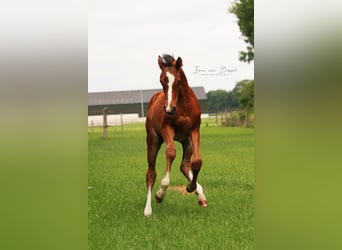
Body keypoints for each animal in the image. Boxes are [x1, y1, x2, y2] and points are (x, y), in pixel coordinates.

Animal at [143, 53, 207, 216]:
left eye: (178, 80)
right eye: (161, 80)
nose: (169, 109)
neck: (182, 106)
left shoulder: (194, 130)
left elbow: (197, 161)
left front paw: (191, 187)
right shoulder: (167, 129)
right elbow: (171, 152)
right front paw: (160, 194)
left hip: (186, 141)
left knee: (184, 165)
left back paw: (201, 196)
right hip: (153, 140)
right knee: (151, 173)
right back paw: (148, 209)